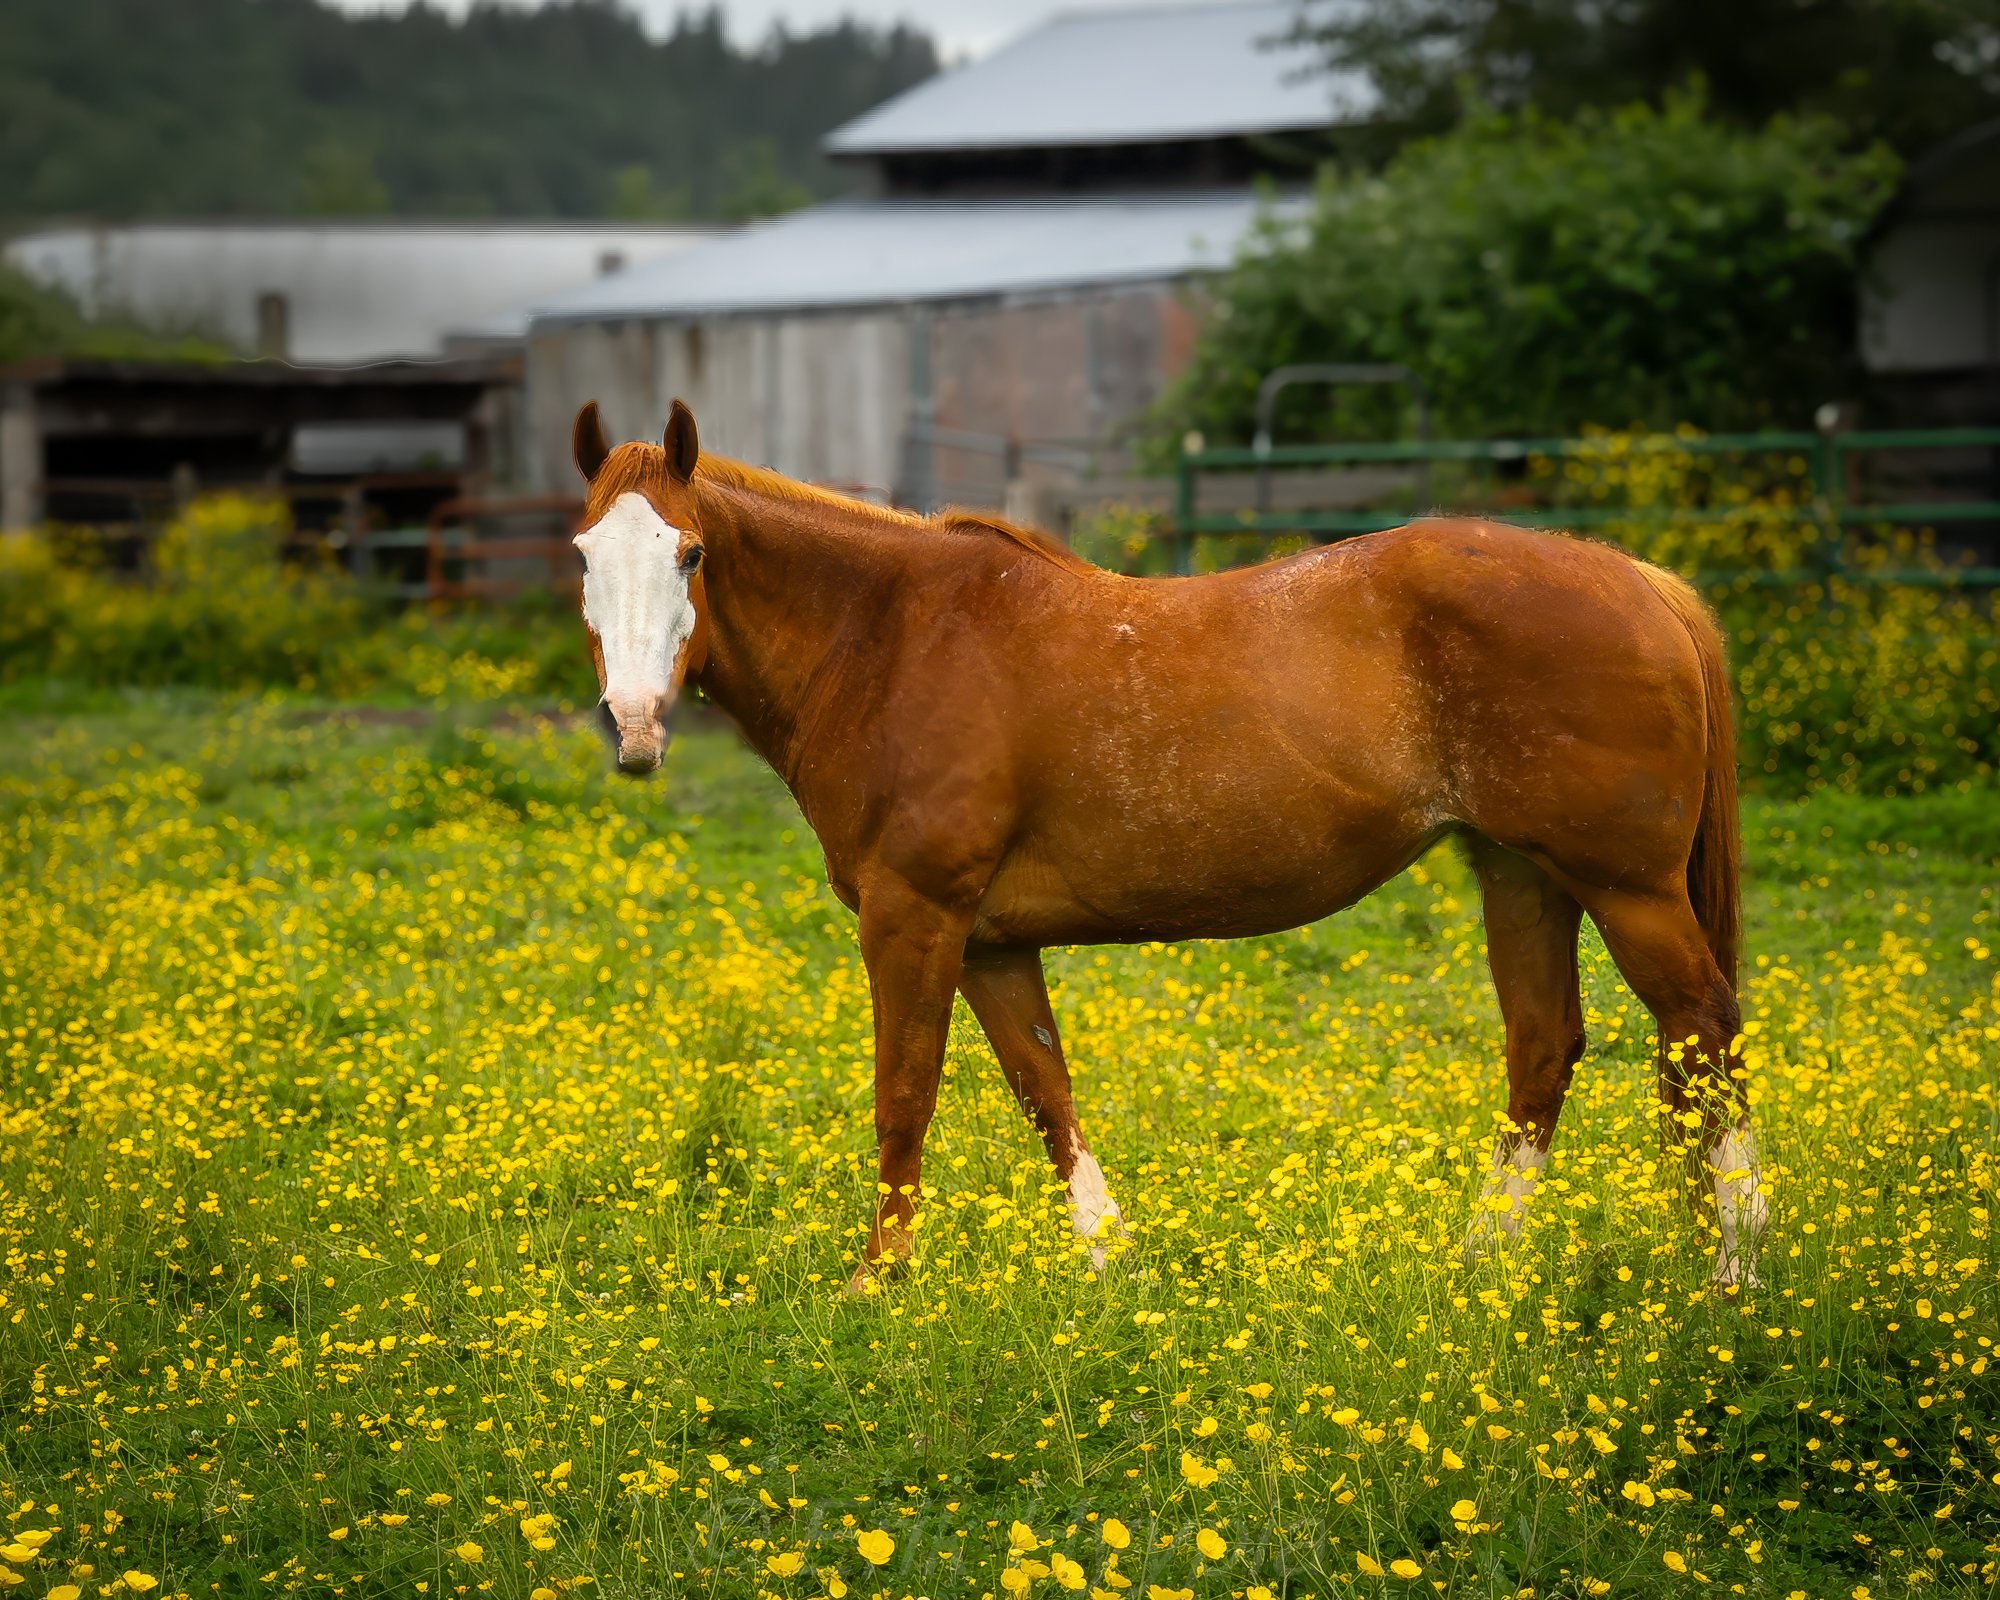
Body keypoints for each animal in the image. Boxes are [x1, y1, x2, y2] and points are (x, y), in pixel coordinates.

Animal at [567, 398, 1770, 1291]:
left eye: (689, 554)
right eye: (582, 557)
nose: (632, 725)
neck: (890, 638)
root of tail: (1640, 581)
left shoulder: (914, 918)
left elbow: (903, 1095)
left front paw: (878, 1284)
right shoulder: (990, 942)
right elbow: (1044, 1092)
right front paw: (1112, 1265)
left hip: (1625, 888)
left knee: (1703, 1031)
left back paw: (1735, 1269)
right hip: (1522, 876)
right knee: (1544, 1049)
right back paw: (1483, 1262)